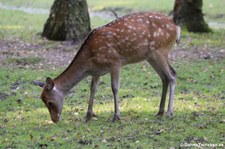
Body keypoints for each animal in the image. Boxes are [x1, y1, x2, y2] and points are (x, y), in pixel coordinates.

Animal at [40, 11, 181, 123]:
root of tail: (177, 28)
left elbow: (114, 88)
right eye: (43, 100)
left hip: (160, 50)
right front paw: (88, 115)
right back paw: (160, 111)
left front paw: (116, 116)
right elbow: (93, 89)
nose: (54, 119)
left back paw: (169, 112)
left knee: (172, 75)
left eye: (50, 102)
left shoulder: (115, 62)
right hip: (150, 56)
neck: (89, 60)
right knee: (164, 77)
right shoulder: (96, 72)